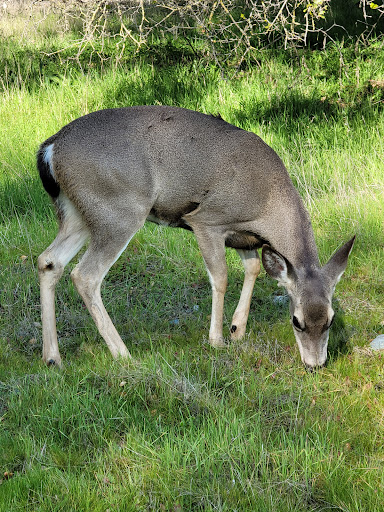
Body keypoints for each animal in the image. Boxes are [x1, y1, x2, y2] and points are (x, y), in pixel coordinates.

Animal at [36, 105, 354, 368]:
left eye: (330, 320)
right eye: (296, 321)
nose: (315, 364)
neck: (268, 201)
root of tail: (50, 149)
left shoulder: (242, 236)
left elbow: (253, 267)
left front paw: (237, 329)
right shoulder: (208, 220)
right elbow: (221, 277)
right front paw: (217, 340)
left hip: (77, 214)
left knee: (49, 261)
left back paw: (52, 357)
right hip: (118, 212)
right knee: (85, 275)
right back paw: (122, 353)